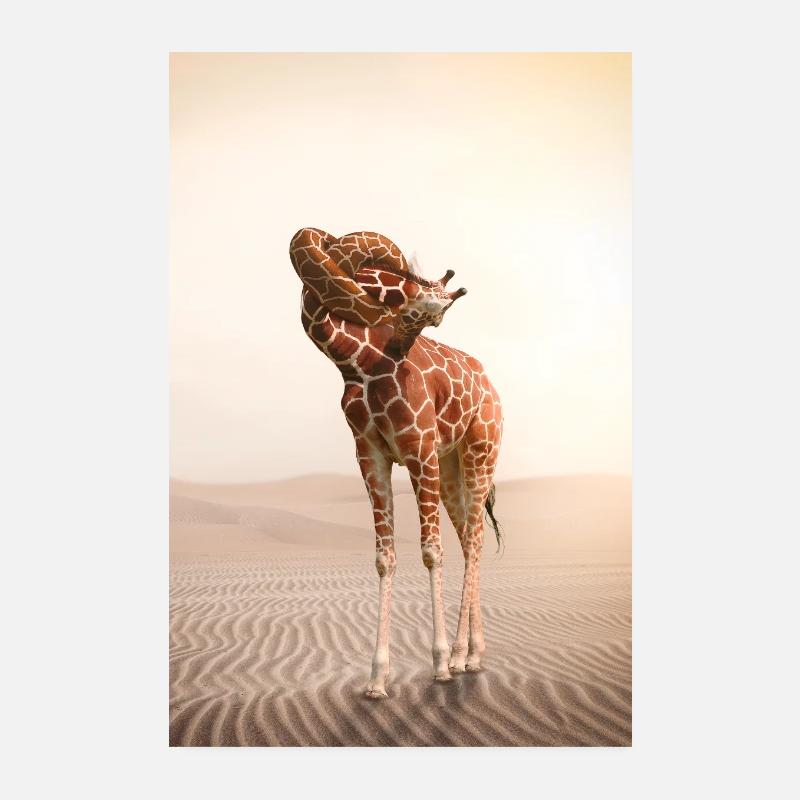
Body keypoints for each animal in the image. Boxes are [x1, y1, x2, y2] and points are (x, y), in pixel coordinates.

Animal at [289, 227, 503, 698]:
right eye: (410, 286)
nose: (449, 297)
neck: (359, 364)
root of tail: (491, 388)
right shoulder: (370, 454)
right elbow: (385, 557)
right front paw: (376, 678)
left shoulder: (420, 448)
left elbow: (431, 551)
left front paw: (439, 664)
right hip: (451, 467)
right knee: (469, 539)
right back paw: (473, 654)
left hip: (481, 451)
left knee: (476, 539)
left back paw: (462, 657)